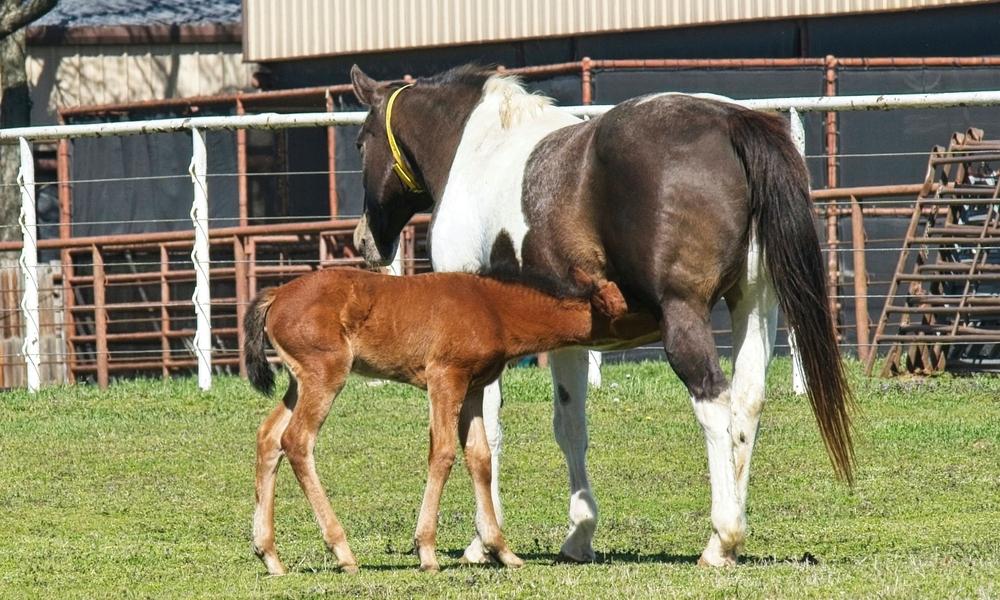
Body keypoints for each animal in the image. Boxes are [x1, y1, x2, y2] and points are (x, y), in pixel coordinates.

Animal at [246, 266, 644, 572]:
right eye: (629, 306)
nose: (657, 313)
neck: (494, 309)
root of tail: (277, 294)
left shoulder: (473, 388)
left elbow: (479, 457)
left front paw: (502, 551)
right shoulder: (445, 377)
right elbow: (443, 452)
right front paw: (427, 551)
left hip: (299, 382)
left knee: (268, 436)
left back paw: (270, 556)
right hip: (325, 374)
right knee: (296, 440)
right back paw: (342, 551)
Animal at [350, 65, 852, 568]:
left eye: (359, 142)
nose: (363, 241)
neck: (480, 147)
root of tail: (729, 121)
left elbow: (486, 434)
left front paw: (483, 542)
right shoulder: (567, 338)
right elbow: (570, 426)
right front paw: (579, 534)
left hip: (684, 316)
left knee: (714, 400)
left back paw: (722, 537)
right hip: (753, 304)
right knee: (748, 405)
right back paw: (726, 540)